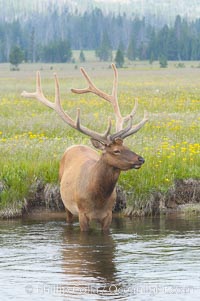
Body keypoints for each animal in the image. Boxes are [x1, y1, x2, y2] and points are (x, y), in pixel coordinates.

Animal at [21, 64, 148, 231]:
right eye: (116, 150)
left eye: (126, 145)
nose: (141, 159)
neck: (98, 199)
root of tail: (75, 146)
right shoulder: (82, 213)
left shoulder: (108, 214)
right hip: (66, 203)